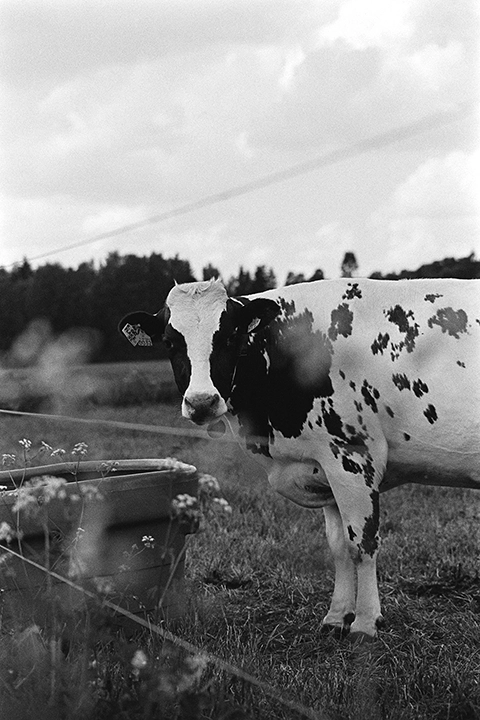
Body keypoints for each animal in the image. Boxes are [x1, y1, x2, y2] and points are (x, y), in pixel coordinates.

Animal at [120, 277, 480, 640]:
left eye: (229, 336)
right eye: (170, 342)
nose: (201, 402)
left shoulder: (352, 457)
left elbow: (362, 543)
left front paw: (365, 623)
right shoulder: (323, 466)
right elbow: (339, 546)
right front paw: (337, 616)